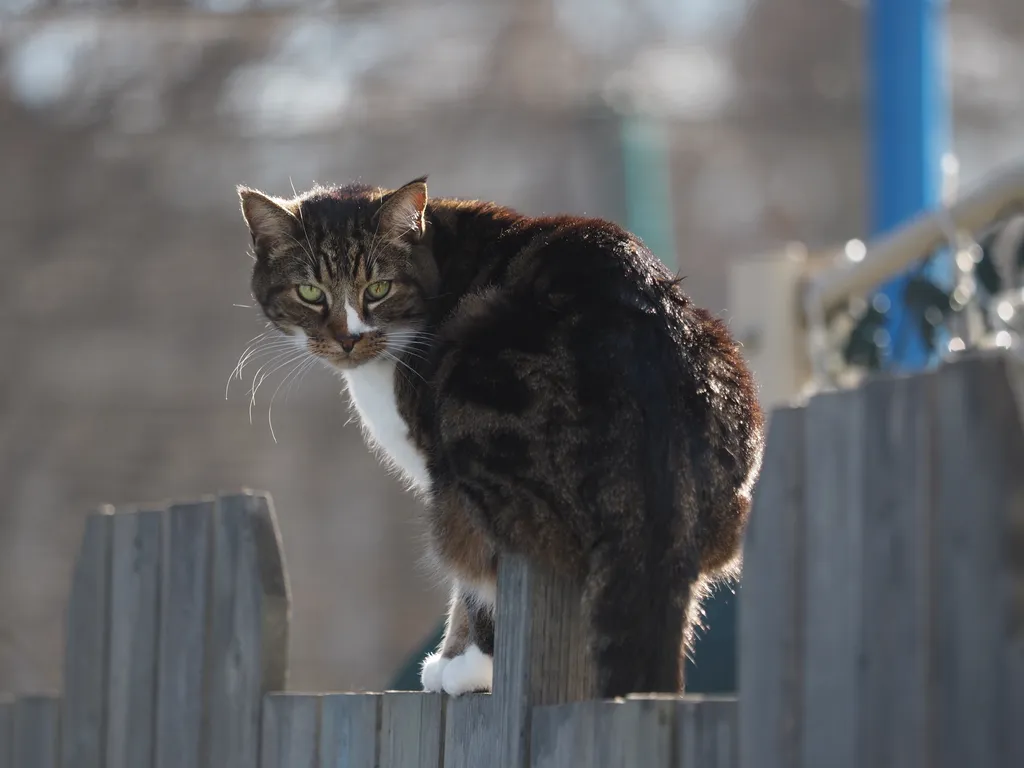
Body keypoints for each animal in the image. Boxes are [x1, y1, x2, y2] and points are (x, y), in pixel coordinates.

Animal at [239, 179, 765, 696]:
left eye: (379, 288)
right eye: (310, 291)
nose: (348, 338)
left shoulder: (440, 473)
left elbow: (467, 589)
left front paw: (457, 664)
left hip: (474, 386)